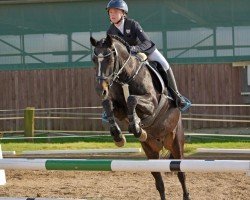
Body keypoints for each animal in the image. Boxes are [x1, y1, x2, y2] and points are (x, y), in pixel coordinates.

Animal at [91, 34, 190, 200]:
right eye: (93, 59)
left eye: (109, 58)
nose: (100, 91)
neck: (126, 76)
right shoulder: (120, 109)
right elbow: (108, 104)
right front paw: (118, 136)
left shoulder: (152, 103)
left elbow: (132, 99)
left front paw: (137, 128)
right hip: (150, 151)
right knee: (159, 182)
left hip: (176, 143)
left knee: (181, 174)